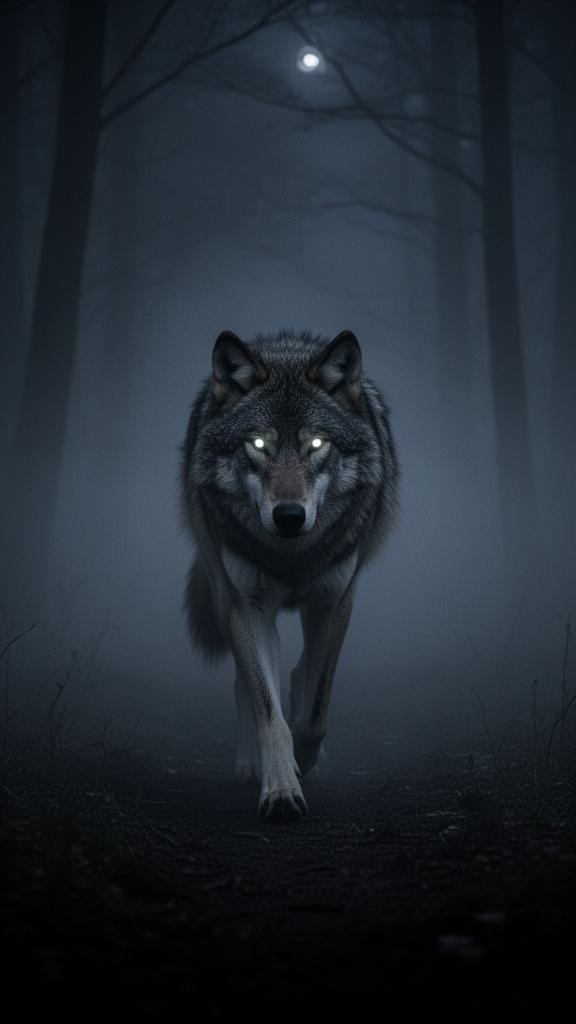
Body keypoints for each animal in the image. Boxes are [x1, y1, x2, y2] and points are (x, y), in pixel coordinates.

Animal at [179, 329, 399, 822]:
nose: (289, 516)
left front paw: (305, 757)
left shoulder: (334, 601)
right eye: (259, 445)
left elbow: (315, 711)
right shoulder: (250, 607)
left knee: (299, 674)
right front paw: (280, 788)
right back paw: (249, 766)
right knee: (245, 685)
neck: (293, 556)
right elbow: (268, 711)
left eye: (316, 445)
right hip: (224, 599)